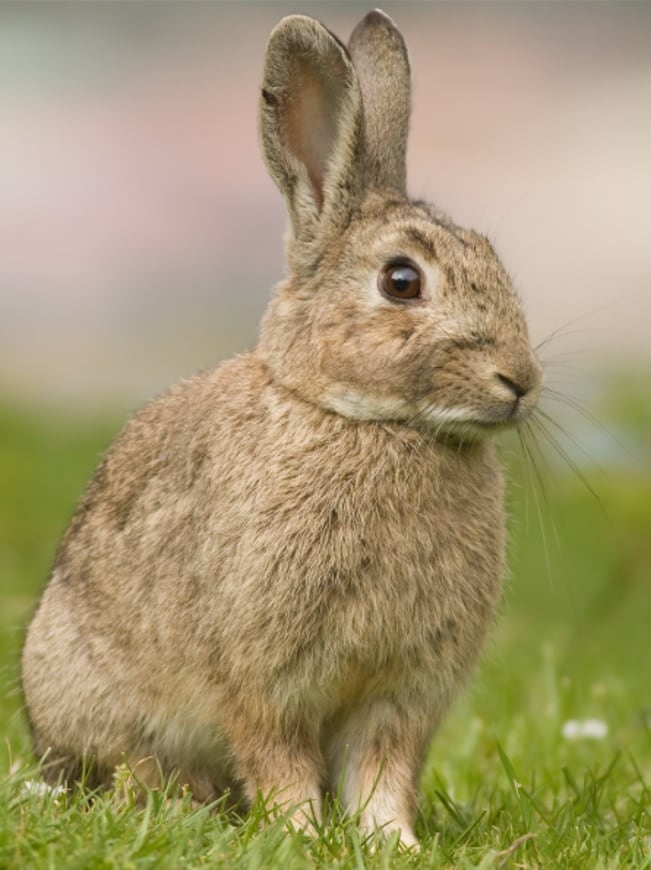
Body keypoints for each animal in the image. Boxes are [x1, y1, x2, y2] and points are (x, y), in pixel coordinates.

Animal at [21, 6, 540, 852]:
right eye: (402, 281)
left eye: (491, 256)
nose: (519, 381)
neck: (367, 420)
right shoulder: (263, 678)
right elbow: (278, 757)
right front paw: (298, 833)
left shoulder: (401, 692)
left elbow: (383, 770)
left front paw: (391, 843)